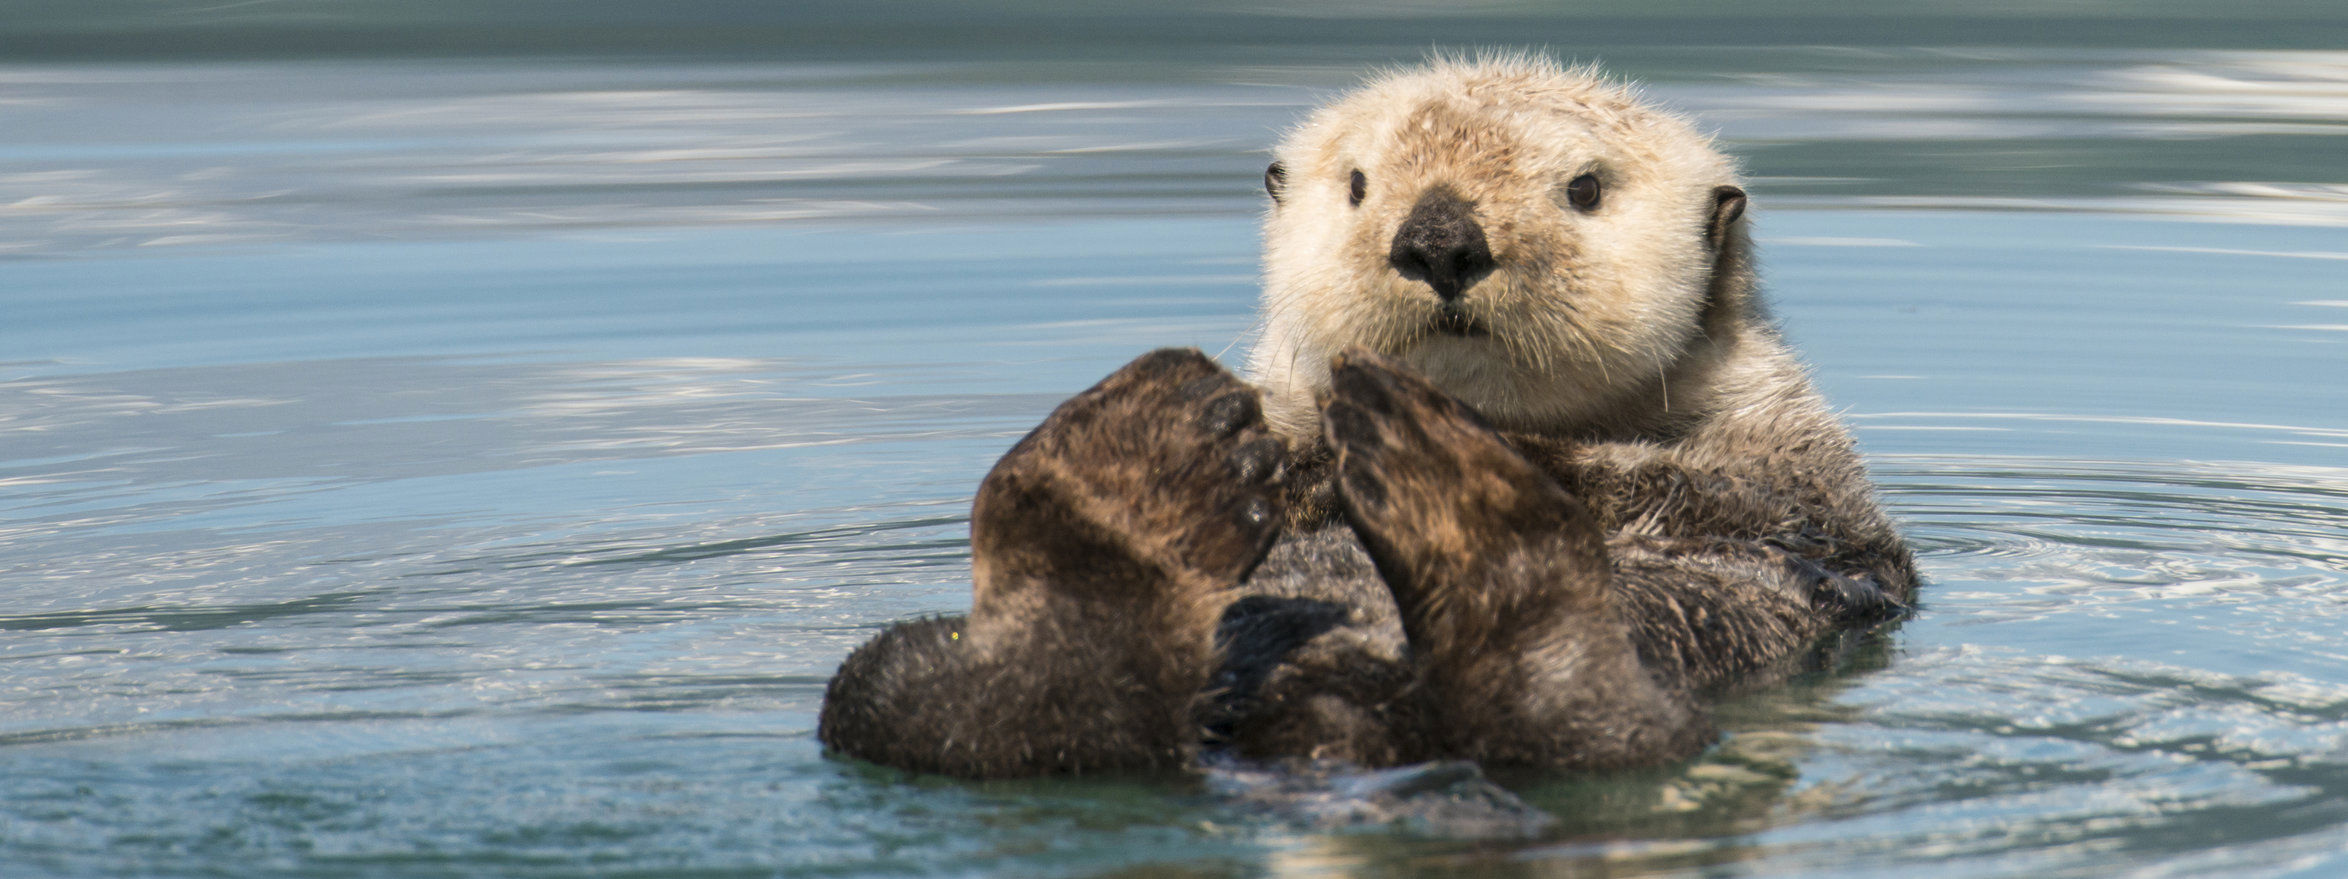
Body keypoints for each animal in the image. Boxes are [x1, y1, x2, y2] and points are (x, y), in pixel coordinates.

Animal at [818, 55, 1915, 779]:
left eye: (1585, 187)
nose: (1439, 237)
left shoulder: (1795, 476)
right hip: (896, 684)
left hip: (1644, 722)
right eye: (1356, 183)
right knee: (981, 717)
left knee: (1575, 718)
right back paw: (1133, 476)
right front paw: (1270, 447)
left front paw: (1487, 448)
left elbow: (1696, 494)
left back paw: (1451, 490)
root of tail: (1329, 725)